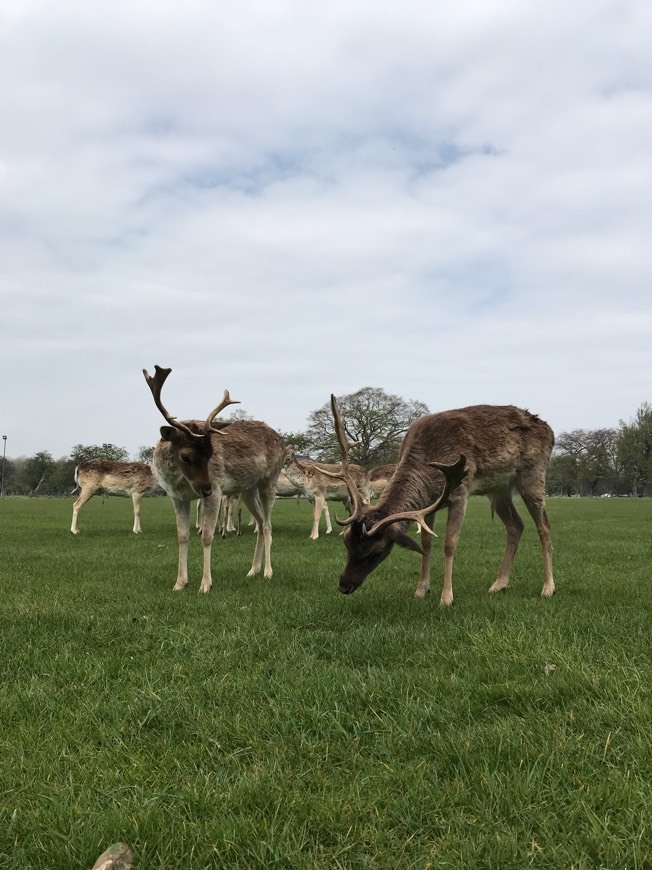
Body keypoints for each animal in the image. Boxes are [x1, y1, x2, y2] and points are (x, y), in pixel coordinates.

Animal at [144, 364, 284, 596]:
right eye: (186, 456)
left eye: (211, 454)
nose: (206, 489)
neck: (180, 482)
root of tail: (283, 441)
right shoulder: (177, 497)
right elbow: (182, 535)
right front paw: (179, 583)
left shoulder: (218, 489)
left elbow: (207, 536)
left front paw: (205, 584)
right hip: (248, 489)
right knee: (260, 520)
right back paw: (252, 570)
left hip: (270, 479)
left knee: (267, 525)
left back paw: (268, 572)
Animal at [328, 396, 552, 608]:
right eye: (346, 542)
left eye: (377, 552)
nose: (343, 586)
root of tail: (550, 431)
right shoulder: (429, 503)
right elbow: (426, 542)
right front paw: (421, 590)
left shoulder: (460, 493)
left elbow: (449, 544)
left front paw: (446, 598)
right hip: (499, 490)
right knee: (516, 525)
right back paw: (499, 584)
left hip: (534, 474)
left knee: (544, 526)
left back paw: (548, 587)